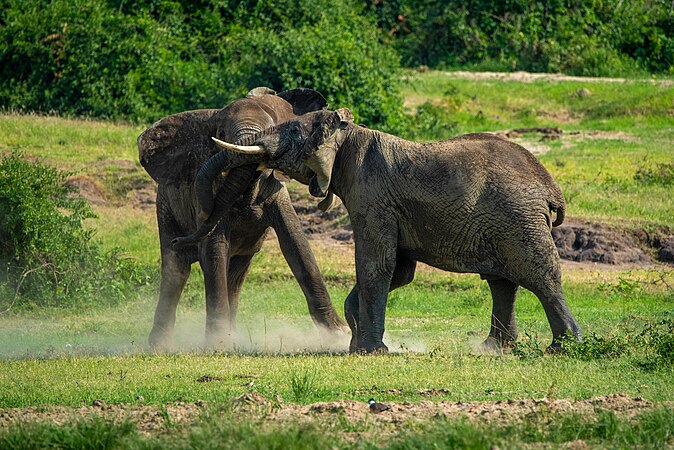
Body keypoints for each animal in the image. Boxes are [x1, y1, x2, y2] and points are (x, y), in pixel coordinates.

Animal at [137, 87, 346, 348]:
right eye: (221, 134)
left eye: (274, 128)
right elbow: (214, 250)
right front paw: (218, 343)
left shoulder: (275, 191)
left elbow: (296, 244)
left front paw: (339, 335)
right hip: (165, 207)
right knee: (176, 269)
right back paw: (160, 346)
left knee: (236, 274)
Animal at [196, 107, 584, 354]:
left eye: (292, 133)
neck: (349, 134)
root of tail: (550, 186)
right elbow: (399, 270)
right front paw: (355, 340)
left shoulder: (372, 197)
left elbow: (377, 265)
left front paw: (371, 350)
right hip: (504, 221)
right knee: (502, 283)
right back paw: (494, 349)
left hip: (518, 218)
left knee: (539, 275)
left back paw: (562, 348)